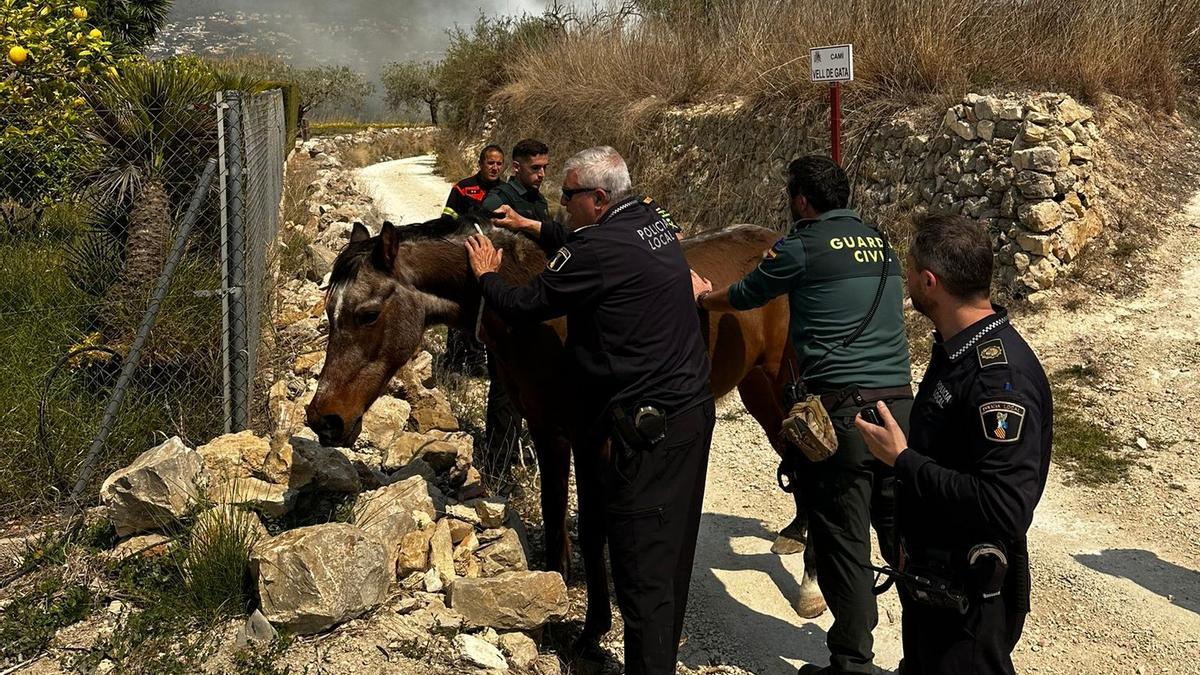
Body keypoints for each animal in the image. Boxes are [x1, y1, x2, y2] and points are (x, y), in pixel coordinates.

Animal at [304, 214, 825, 638]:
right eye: (329, 310)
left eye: (367, 313)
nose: (324, 419)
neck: (543, 311)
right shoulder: (546, 428)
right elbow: (555, 513)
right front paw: (553, 596)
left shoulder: (595, 440)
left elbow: (593, 529)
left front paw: (593, 631)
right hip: (760, 391)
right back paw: (795, 532)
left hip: (789, 387)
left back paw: (811, 586)